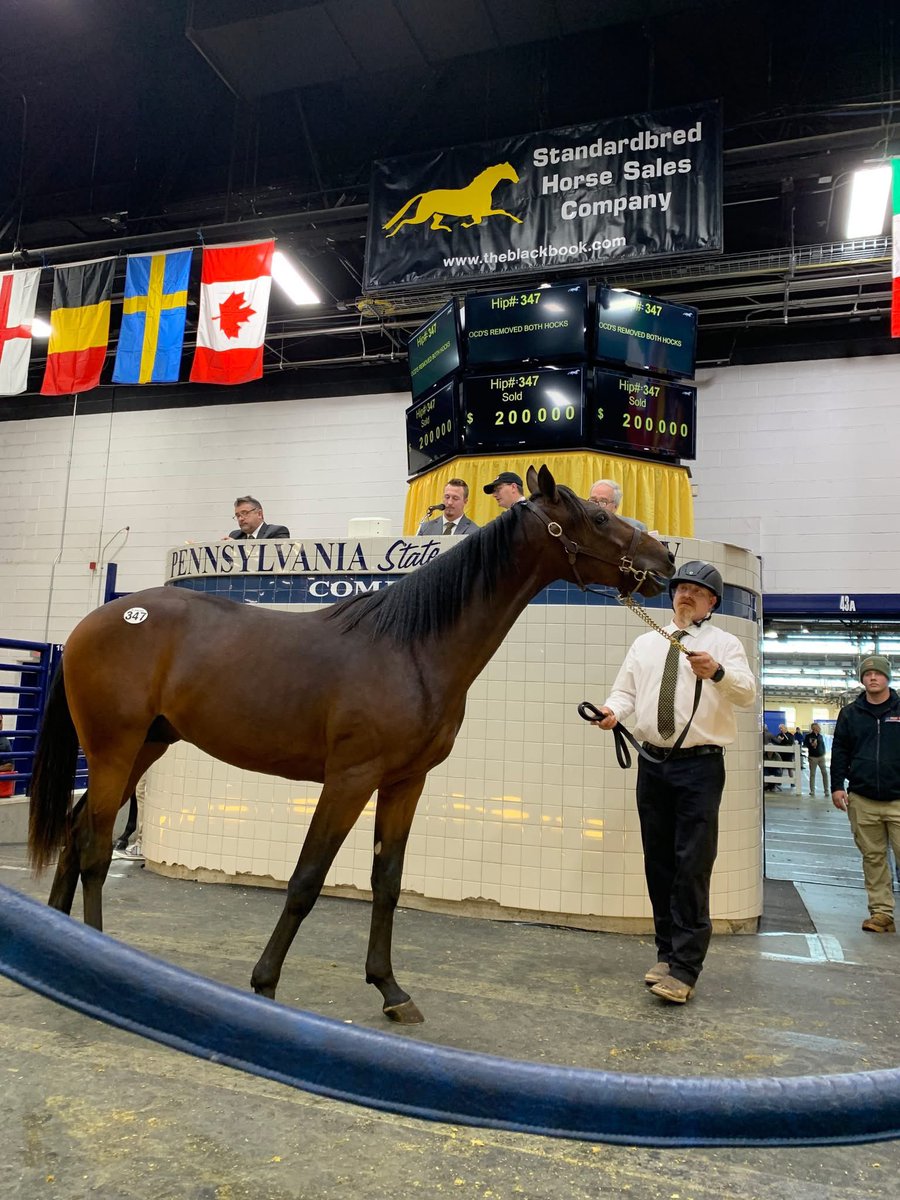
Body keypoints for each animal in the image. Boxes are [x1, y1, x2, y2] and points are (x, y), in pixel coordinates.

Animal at [28, 466, 674, 1023]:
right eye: (597, 516)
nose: (664, 557)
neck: (410, 648)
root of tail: (91, 622)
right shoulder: (349, 780)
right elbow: (306, 879)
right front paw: (265, 981)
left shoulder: (406, 782)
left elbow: (387, 881)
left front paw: (390, 989)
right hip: (113, 750)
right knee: (94, 847)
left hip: (144, 748)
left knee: (76, 834)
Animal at [382, 162, 523, 238]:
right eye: (510, 170)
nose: (517, 180)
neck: (480, 190)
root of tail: (425, 194)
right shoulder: (481, 212)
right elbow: (484, 218)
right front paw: (465, 225)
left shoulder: (485, 211)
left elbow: (502, 212)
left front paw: (519, 220)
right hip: (423, 215)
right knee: (405, 220)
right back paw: (390, 234)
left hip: (438, 215)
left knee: (433, 226)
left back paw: (448, 229)